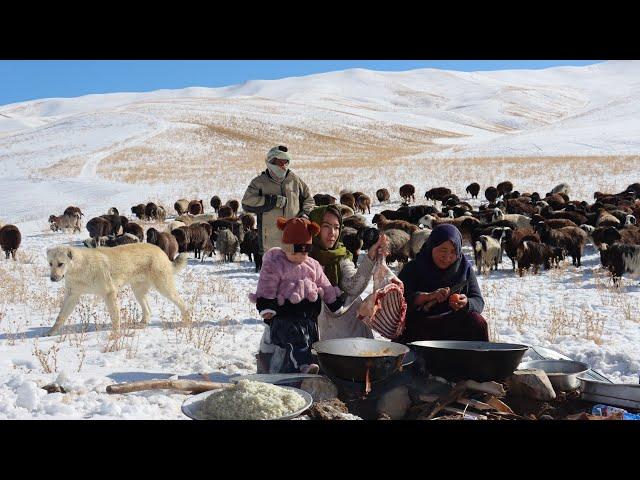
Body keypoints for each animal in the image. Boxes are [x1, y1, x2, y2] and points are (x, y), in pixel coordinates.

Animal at [46, 242, 189, 336]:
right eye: (50, 264)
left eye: (61, 264)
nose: (52, 278)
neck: (80, 268)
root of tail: (160, 250)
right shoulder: (72, 295)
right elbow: (60, 317)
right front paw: (50, 333)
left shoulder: (109, 293)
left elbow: (115, 316)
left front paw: (115, 335)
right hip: (138, 291)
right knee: (148, 310)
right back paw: (141, 324)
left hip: (163, 287)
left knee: (182, 303)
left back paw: (186, 321)